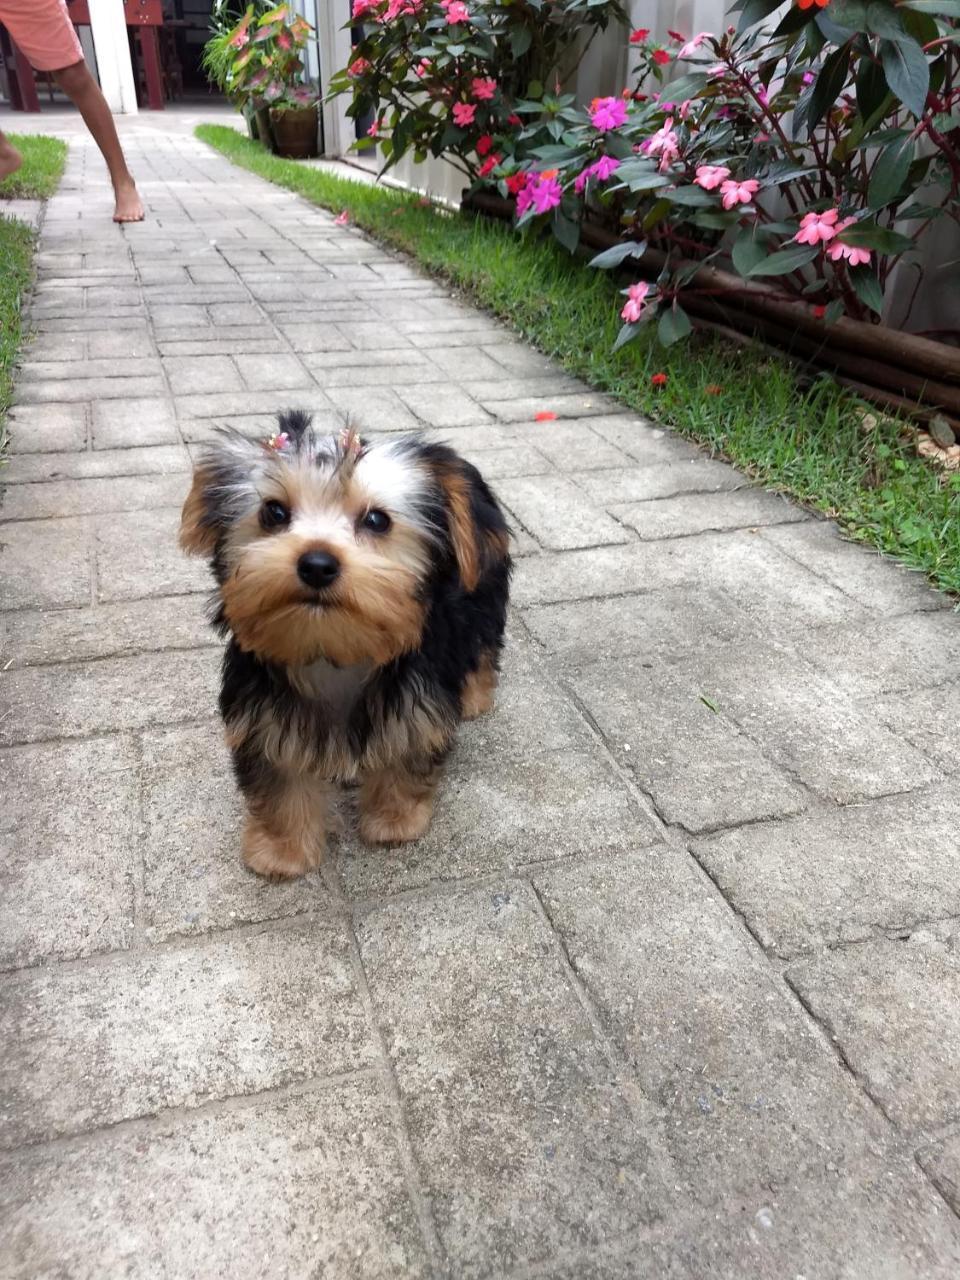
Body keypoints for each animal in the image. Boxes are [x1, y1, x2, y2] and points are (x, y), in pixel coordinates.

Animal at [179, 409, 512, 880]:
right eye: (273, 512)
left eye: (377, 520)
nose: (317, 563)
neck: (332, 649)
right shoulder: (263, 712)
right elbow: (280, 774)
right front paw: (282, 850)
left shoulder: (417, 697)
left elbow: (407, 747)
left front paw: (394, 821)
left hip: (484, 582)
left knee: (483, 644)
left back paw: (475, 697)